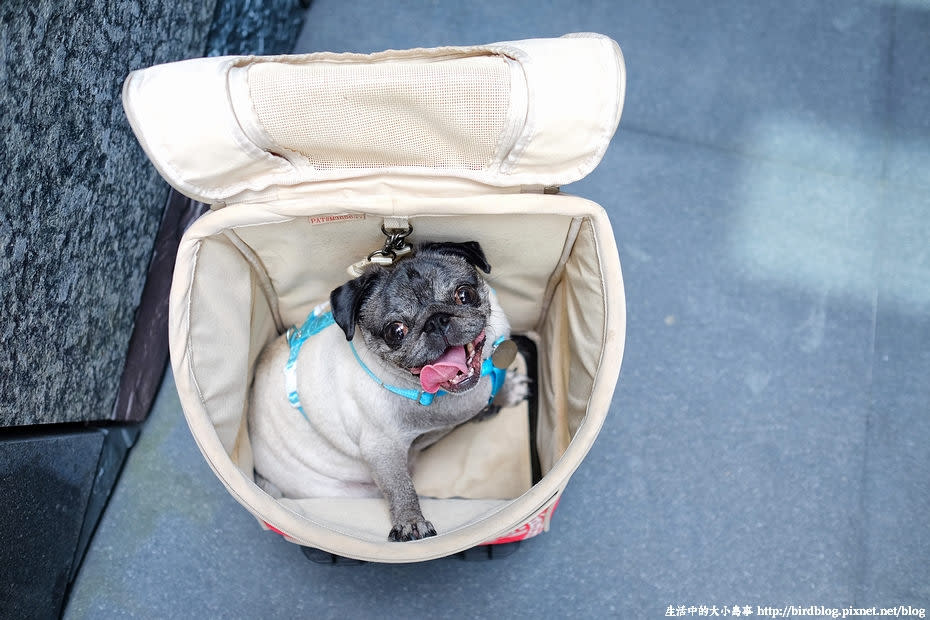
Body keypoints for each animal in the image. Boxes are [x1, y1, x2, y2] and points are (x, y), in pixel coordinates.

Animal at [245, 242, 528, 544]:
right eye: (395, 332)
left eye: (464, 294)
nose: (435, 320)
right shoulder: (383, 446)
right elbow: (399, 487)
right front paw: (411, 522)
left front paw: (507, 390)